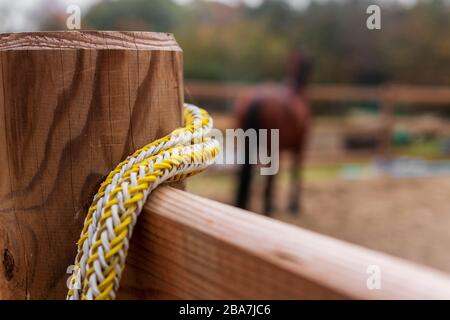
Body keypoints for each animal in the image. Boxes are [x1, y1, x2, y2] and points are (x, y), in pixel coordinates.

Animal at [234, 48, 312, 215]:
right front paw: (294, 205)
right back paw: (267, 208)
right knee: (269, 178)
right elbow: (296, 170)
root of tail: (257, 98)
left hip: (246, 143)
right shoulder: (299, 145)